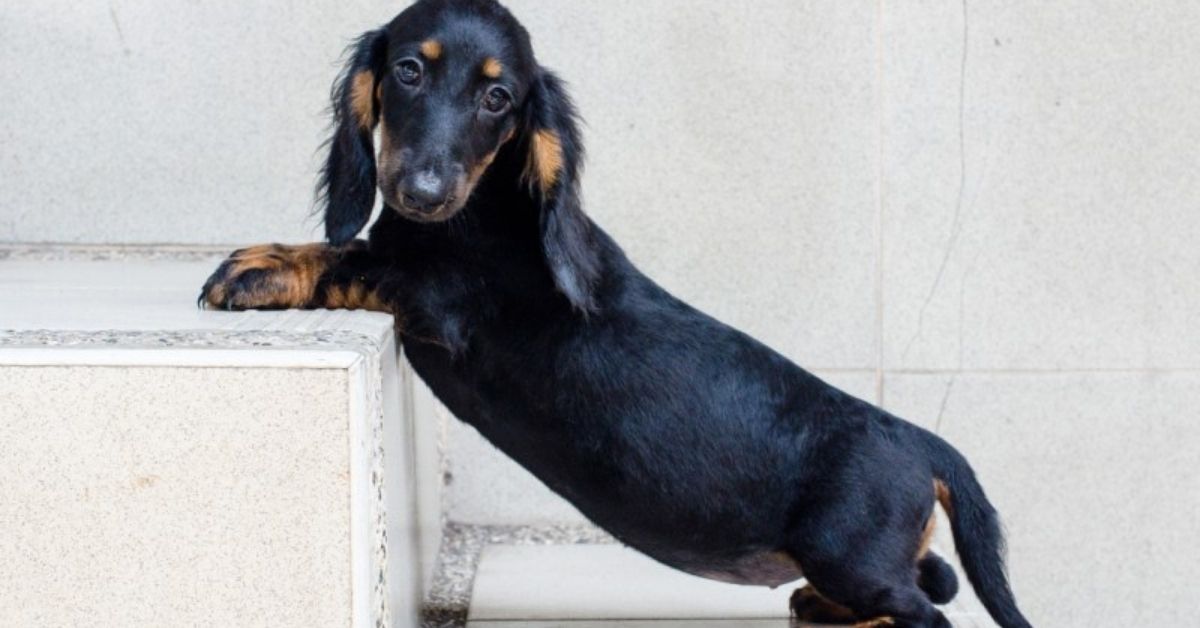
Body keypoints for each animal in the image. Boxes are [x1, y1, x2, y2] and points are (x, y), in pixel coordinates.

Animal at [201, 2, 1027, 624]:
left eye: (498, 98)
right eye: (408, 70)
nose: (424, 192)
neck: (482, 211)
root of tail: (921, 440)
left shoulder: (437, 301)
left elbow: (351, 259)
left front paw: (260, 266)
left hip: (850, 556)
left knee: (927, 610)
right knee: (933, 576)